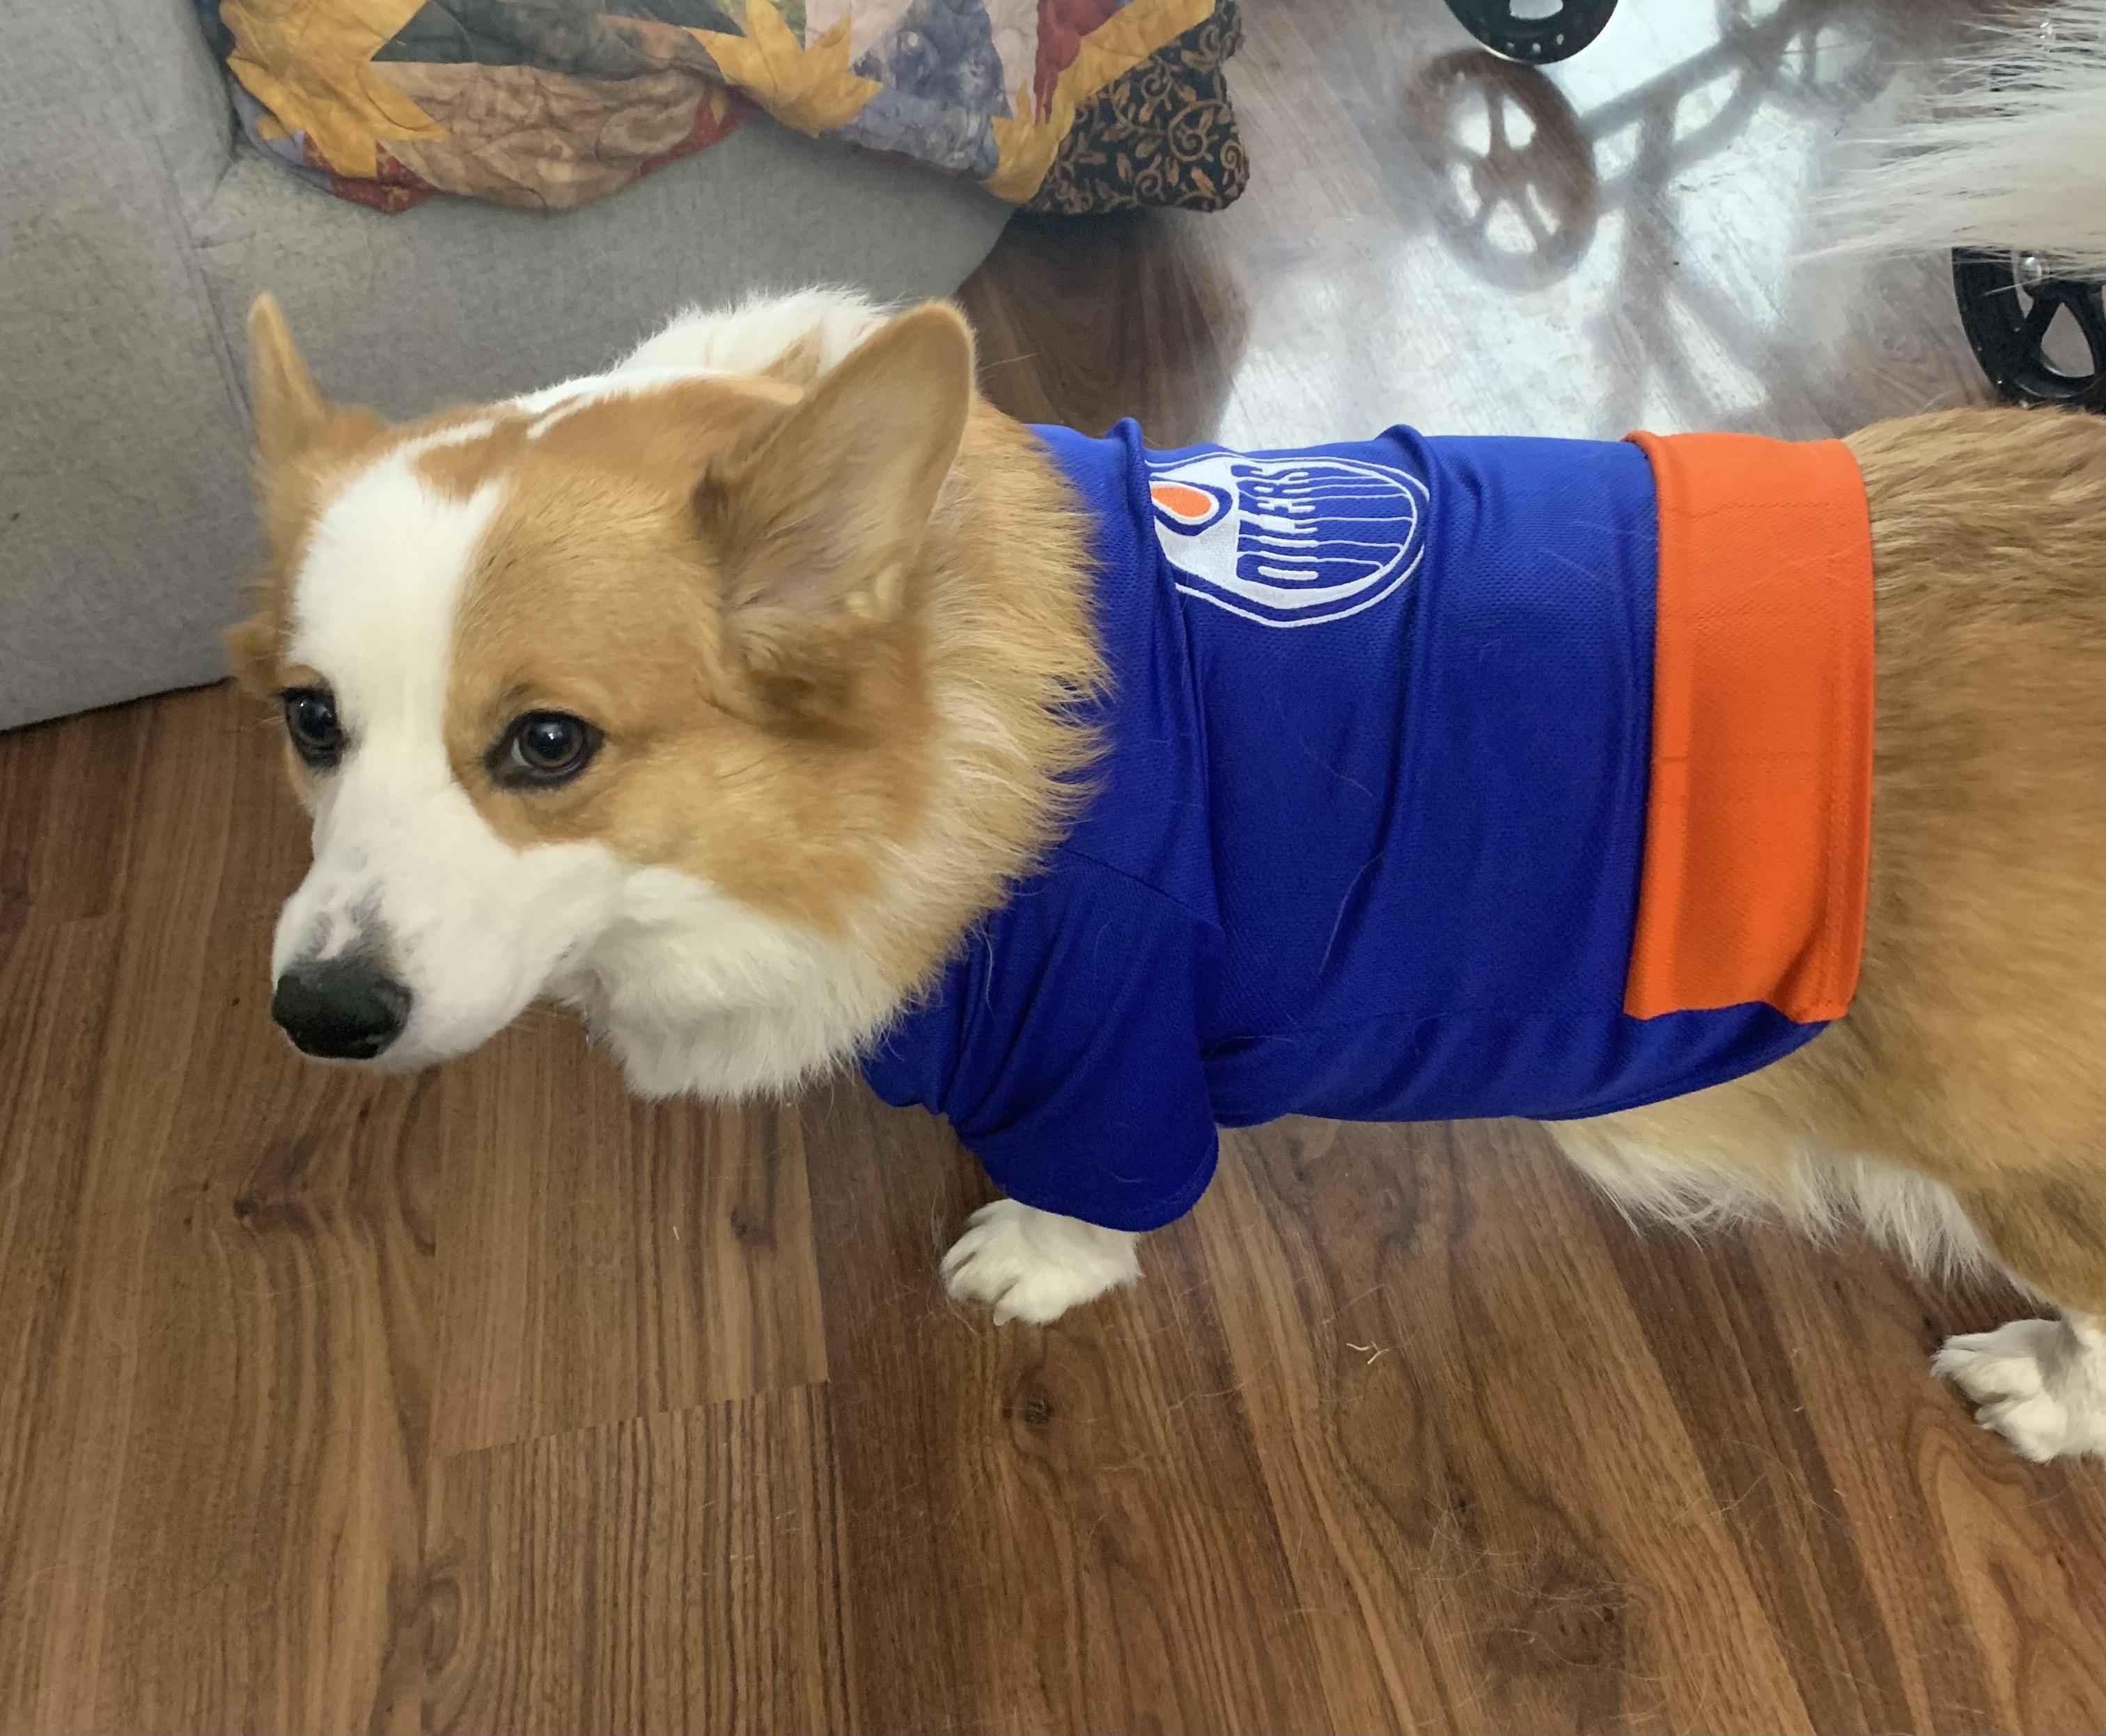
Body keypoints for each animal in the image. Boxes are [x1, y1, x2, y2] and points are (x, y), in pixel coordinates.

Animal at [229, 275, 2106, 1467]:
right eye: (310, 720)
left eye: (548, 744)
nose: (318, 1015)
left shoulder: (1106, 1026)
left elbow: (1095, 1191)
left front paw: (1034, 1261)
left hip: (2017, 1152)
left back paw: (2045, 1391)